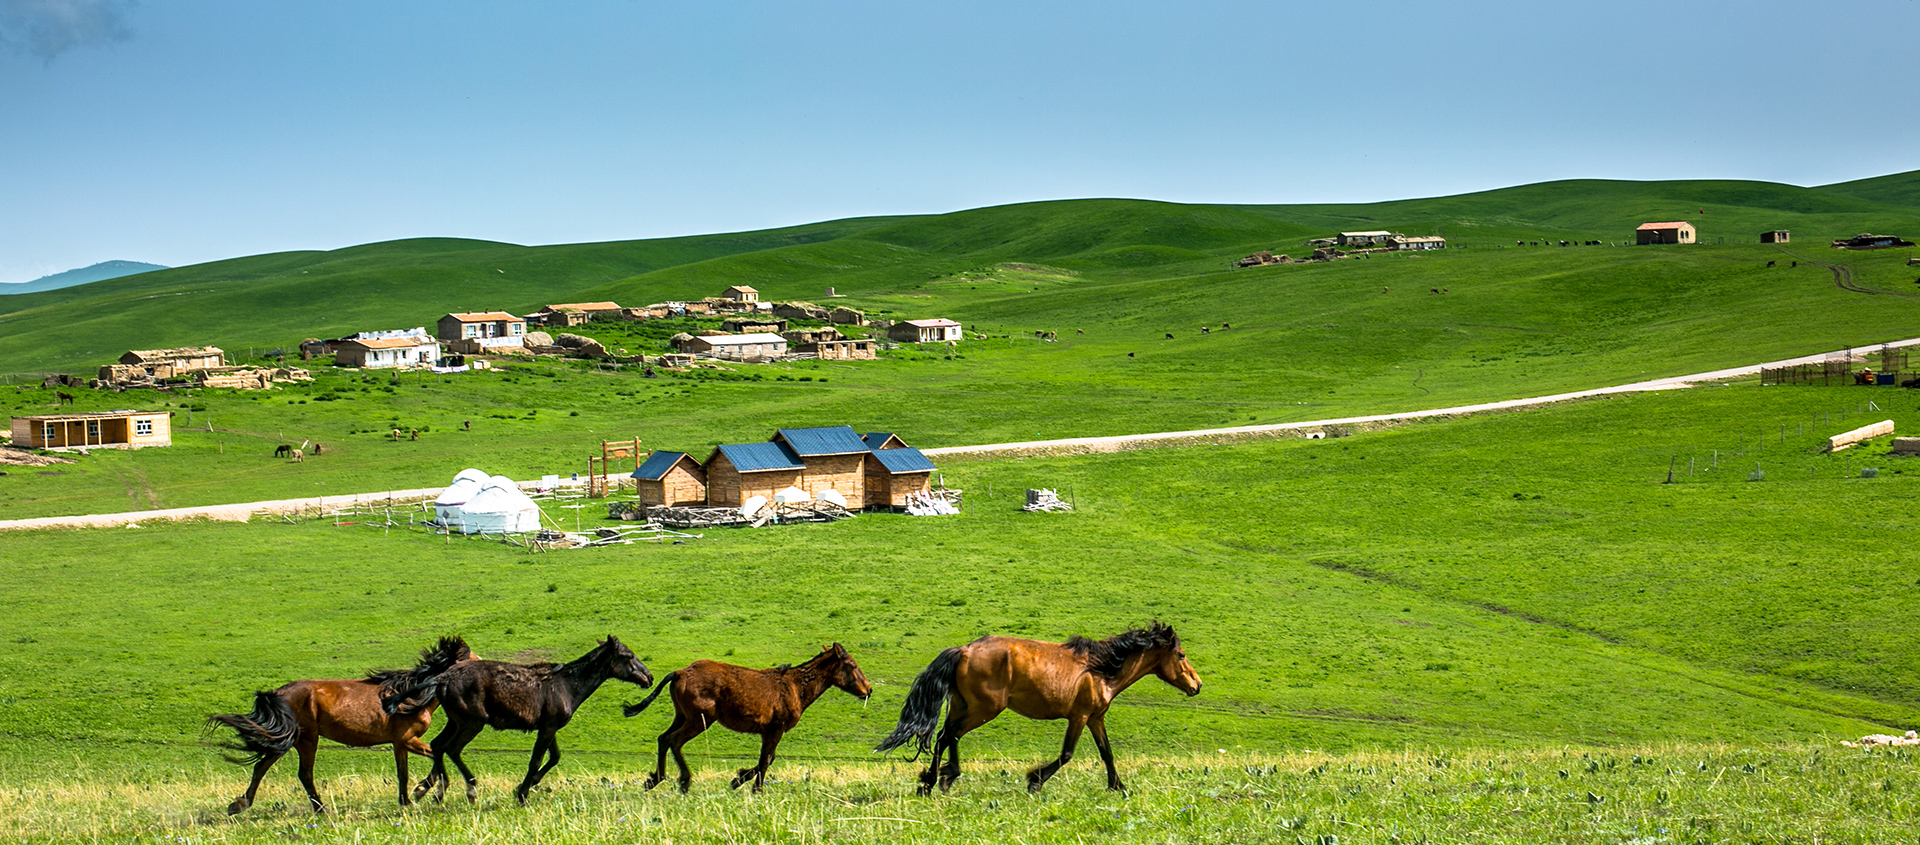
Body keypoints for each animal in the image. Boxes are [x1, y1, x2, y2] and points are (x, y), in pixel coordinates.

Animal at [209, 633, 472, 810]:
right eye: (468, 657)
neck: (408, 695)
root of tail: (278, 693)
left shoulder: (400, 744)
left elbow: (406, 771)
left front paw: (407, 799)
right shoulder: (407, 739)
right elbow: (431, 758)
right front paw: (421, 792)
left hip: (292, 739)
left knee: (262, 766)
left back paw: (240, 804)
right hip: (307, 739)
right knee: (303, 774)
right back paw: (321, 810)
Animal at [405, 633, 652, 806]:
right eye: (628, 656)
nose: (649, 677)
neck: (566, 685)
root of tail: (442, 678)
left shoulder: (548, 727)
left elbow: (554, 757)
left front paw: (526, 785)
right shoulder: (548, 728)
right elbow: (536, 760)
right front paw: (522, 794)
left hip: (455, 721)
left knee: (437, 745)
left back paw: (426, 790)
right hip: (471, 723)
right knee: (451, 748)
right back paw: (464, 790)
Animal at [625, 645, 875, 795]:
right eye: (852, 666)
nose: (869, 690)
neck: (795, 687)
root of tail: (680, 673)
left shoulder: (768, 731)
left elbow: (769, 759)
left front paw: (739, 779)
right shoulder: (775, 729)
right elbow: (766, 760)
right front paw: (755, 789)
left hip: (682, 715)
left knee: (663, 738)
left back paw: (654, 779)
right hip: (700, 719)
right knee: (674, 741)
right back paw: (684, 781)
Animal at [875, 622, 1198, 795]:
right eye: (1181, 655)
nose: (1197, 685)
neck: (1101, 670)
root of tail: (964, 650)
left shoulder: (1096, 718)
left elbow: (1107, 754)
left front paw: (1118, 786)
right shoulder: (1079, 716)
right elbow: (1067, 754)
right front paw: (1035, 781)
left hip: (961, 704)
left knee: (945, 736)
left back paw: (934, 780)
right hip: (985, 709)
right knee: (949, 735)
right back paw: (940, 779)